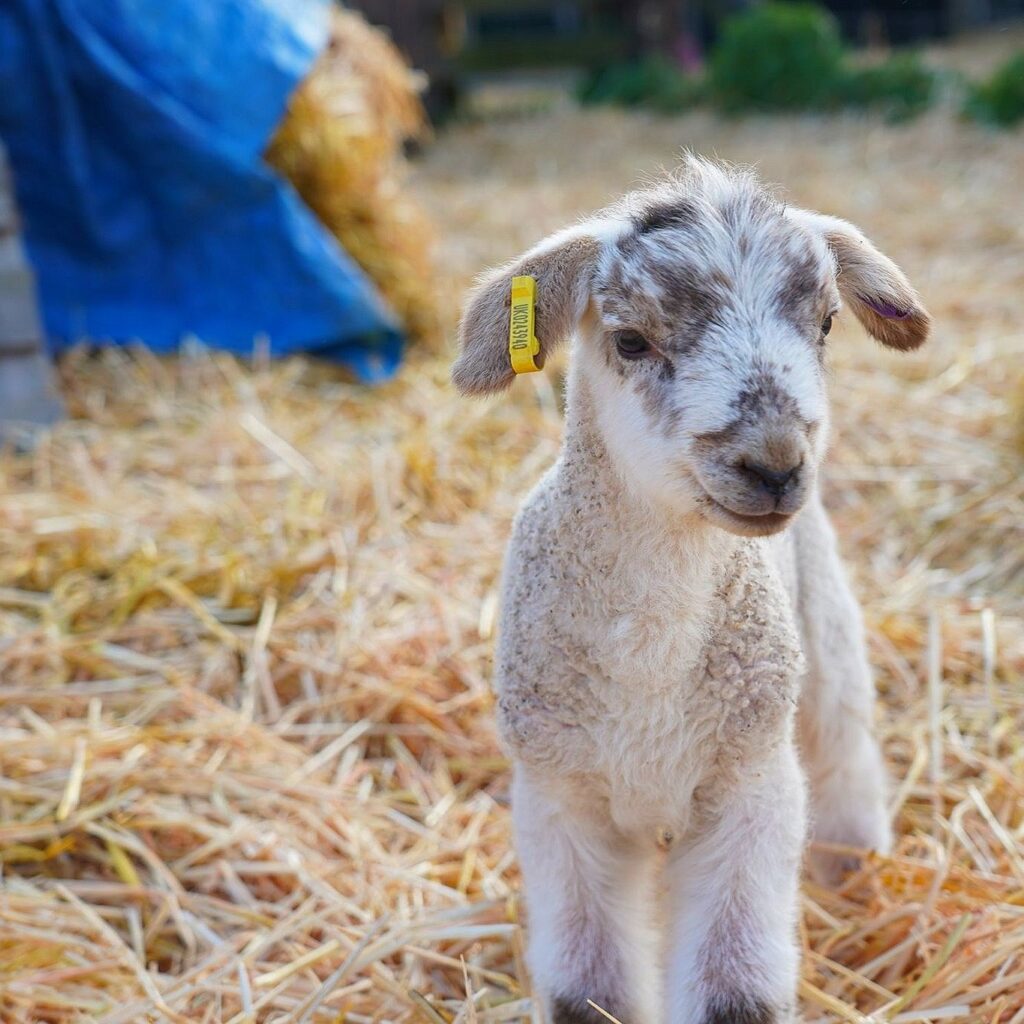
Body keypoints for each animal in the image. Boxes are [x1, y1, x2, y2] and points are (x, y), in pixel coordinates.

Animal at [452, 153, 933, 1024]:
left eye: (826, 324)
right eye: (631, 340)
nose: (775, 464)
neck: (651, 663)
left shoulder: (749, 786)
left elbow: (736, 995)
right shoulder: (561, 798)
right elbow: (587, 994)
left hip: (822, 637)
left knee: (844, 749)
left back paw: (855, 877)